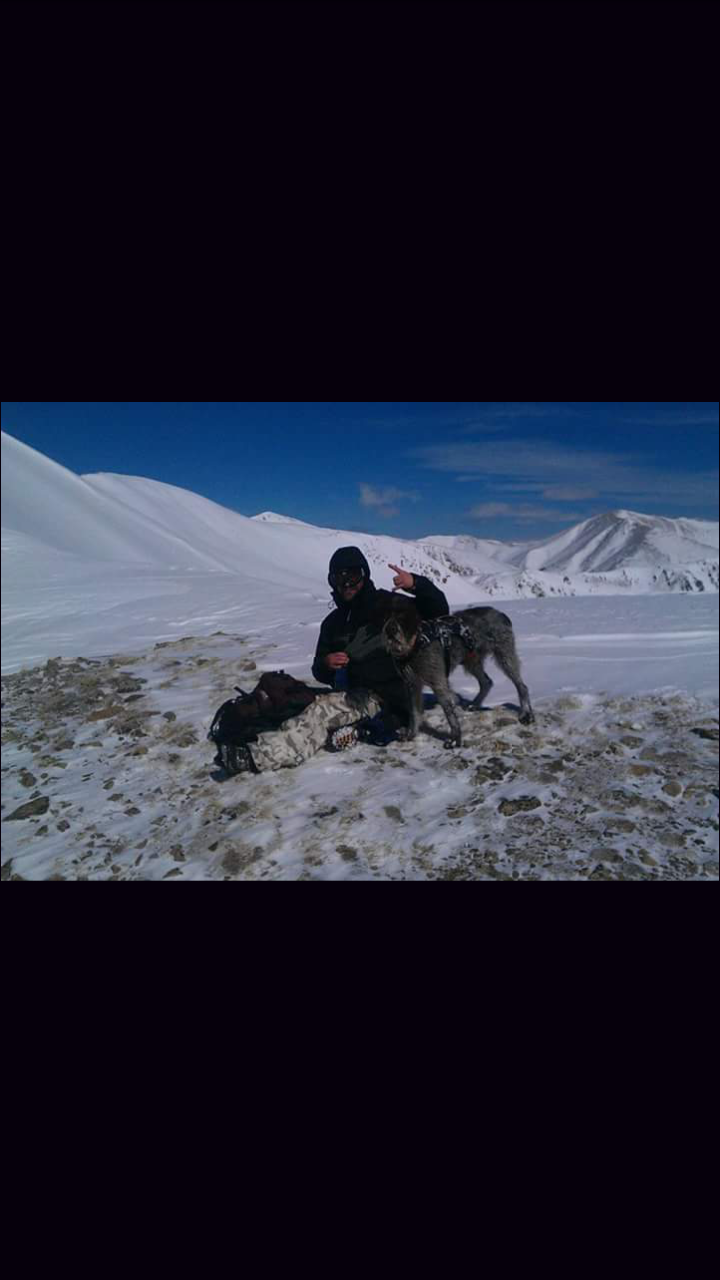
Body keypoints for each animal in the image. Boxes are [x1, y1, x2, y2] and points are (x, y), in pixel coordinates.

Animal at [378, 595, 535, 749]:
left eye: (403, 616)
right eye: (385, 616)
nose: (390, 630)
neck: (415, 645)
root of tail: (500, 614)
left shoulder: (439, 683)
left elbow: (449, 713)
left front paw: (455, 739)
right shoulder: (412, 685)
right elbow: (414, 712)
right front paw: (411, 734)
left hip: (504, 656)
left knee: (521, 686)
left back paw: (526, 714)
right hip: (471, 661)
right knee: (486, 682)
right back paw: (474, 704)